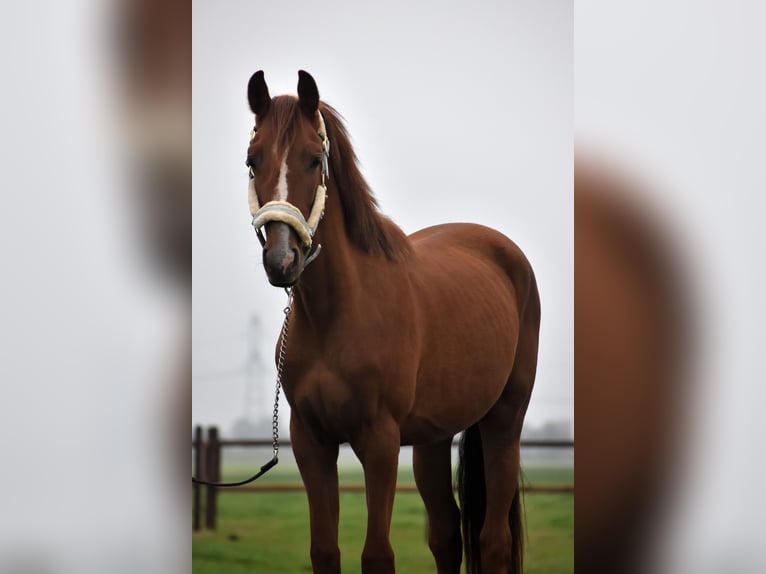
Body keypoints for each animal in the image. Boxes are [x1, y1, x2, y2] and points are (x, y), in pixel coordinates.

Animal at [246, 72, 540, 574]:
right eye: (252, 160)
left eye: (314, 158)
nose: (282, 260)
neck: (337, 314)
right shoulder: (311, 443)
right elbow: (324, 551)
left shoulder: (380, 442)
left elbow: (377, 556)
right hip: (432, 439)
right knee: (446, 535)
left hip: (504, 421)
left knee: (493, 542)